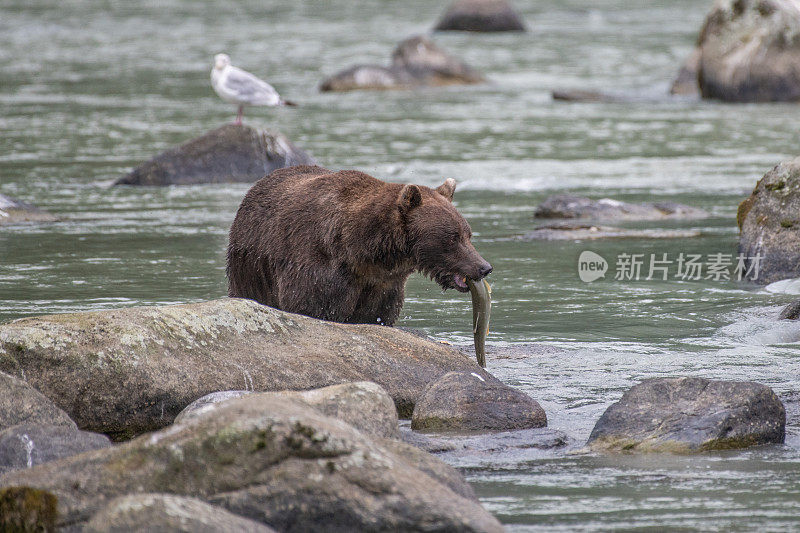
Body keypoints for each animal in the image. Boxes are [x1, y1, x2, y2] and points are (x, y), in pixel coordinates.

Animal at [223, 165, 488, 324]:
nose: (484, 267)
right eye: (453, 237)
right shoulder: (316, 265)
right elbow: (311, 306)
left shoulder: (383, 285)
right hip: (250, 265)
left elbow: (376, 316)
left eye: (468, 234)